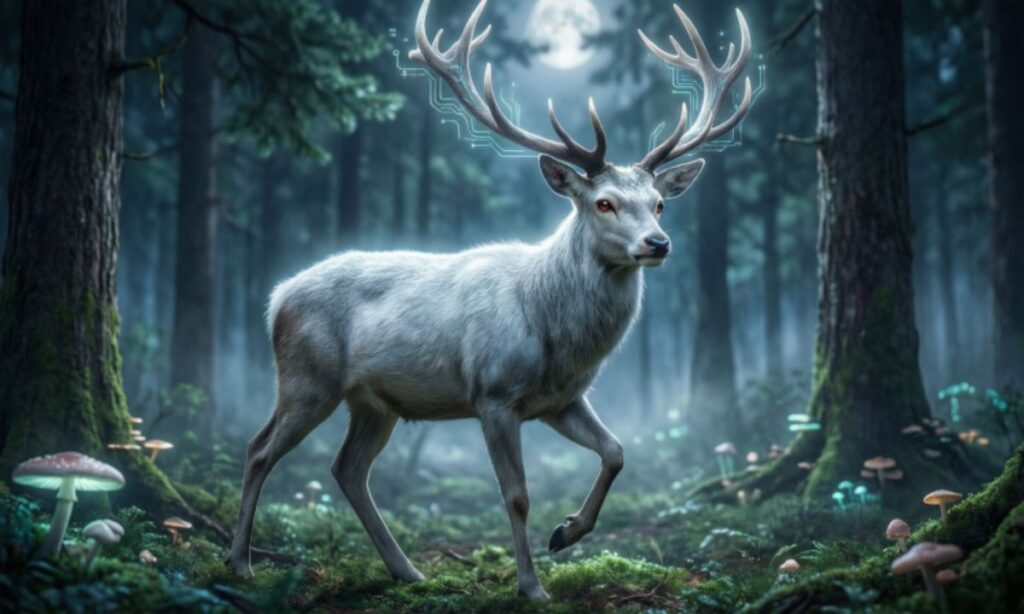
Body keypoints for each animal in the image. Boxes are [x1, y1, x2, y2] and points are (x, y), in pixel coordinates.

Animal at [227, 0, 751, 600]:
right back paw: (240, 562)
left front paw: (566, 533)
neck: (554, 333)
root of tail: (275, 299)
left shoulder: (561, 399)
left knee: (347, 468)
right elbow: (517, 495)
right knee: (260, 448)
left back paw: (407, 570)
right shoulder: (494, 393)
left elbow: (617, 452)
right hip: (308, 376)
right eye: (603, 202)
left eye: (660, 203)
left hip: (374, 401)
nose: (658, 243)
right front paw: (532, 586)